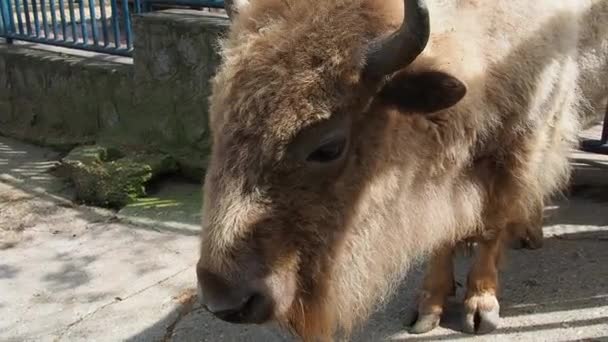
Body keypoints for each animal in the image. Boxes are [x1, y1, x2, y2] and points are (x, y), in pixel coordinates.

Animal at [196, 0, 608, 338]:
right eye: (217, 120)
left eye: (328, 147)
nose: (225, 301)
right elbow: (442, 232)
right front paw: (428, 307)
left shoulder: (520, 140)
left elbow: (492, 223)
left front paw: (481, 308)